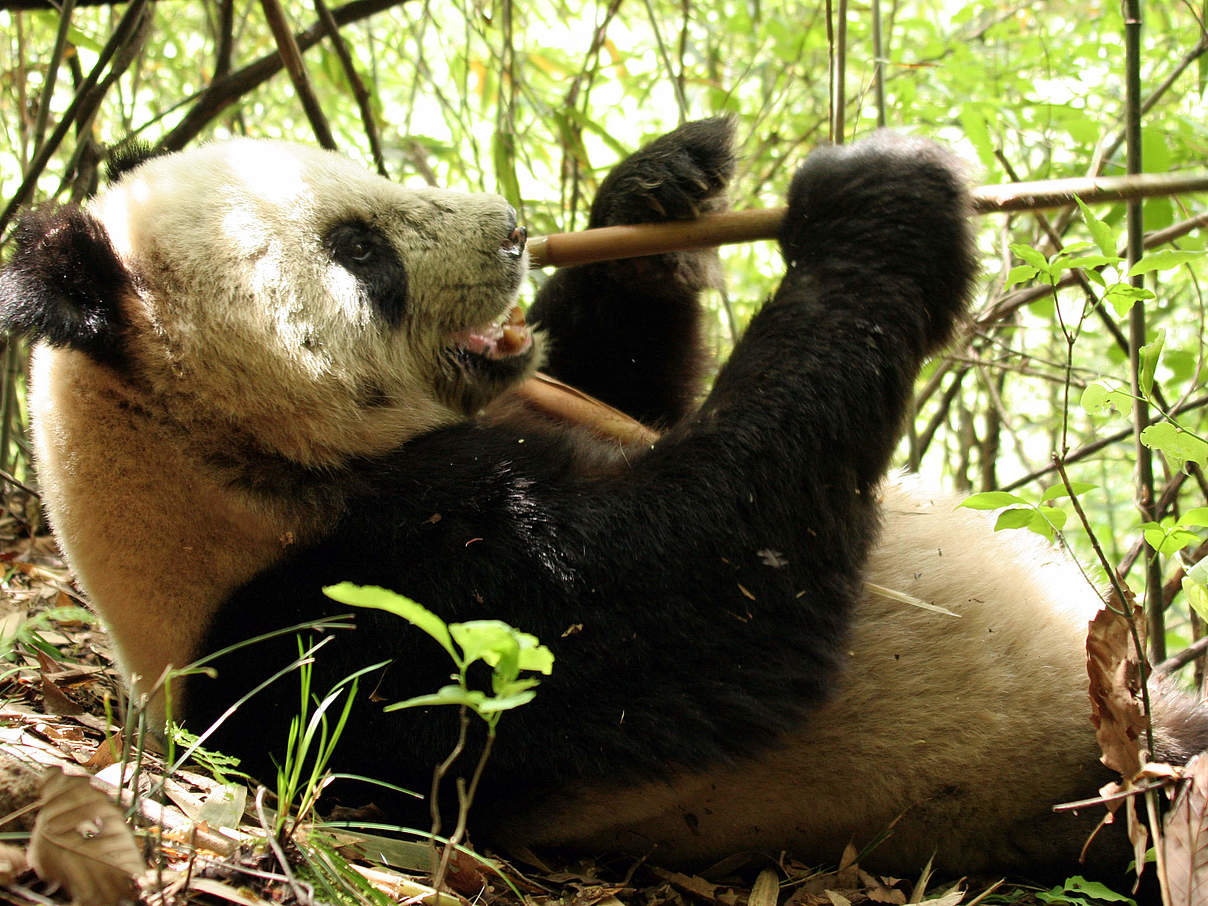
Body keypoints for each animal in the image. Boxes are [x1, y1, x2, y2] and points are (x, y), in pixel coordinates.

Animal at [0, 120, 1203, 879]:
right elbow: (703, 583)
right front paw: (874, 213)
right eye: (358, 250)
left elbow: (631, 390)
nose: (509, 230)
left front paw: (656, 193)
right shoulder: (352, 616)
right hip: (1072, 767)